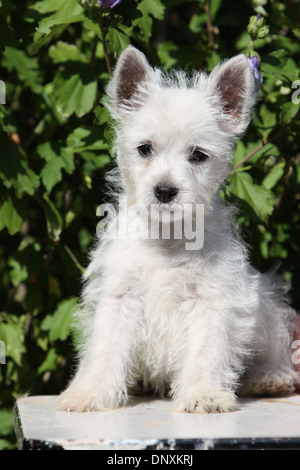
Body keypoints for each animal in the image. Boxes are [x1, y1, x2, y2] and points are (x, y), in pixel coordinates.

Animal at [57, 47, 298, 414]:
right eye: (144, 149)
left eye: (198, 155)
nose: (165, 190)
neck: (166, 239)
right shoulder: (118, 297)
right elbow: (104, 349)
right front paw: (89, 393)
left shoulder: (212, 300)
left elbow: (205, 352)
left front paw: (203, 393)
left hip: (268, 307)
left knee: (278, 346)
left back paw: (271, 376)